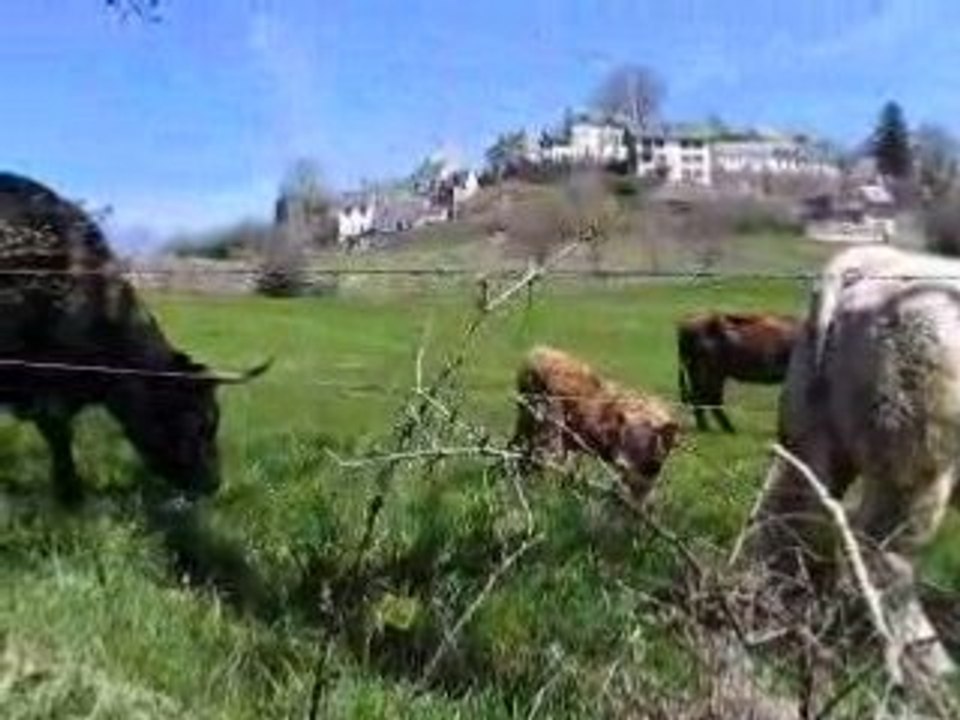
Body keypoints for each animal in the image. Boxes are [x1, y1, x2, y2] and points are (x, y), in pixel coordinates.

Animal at [510, 345, 679, 502]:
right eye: (625, 433)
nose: (621, 461)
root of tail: (536, 354)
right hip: (547, 427)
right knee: (543, 461)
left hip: (528, 423)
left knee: (518, 451)